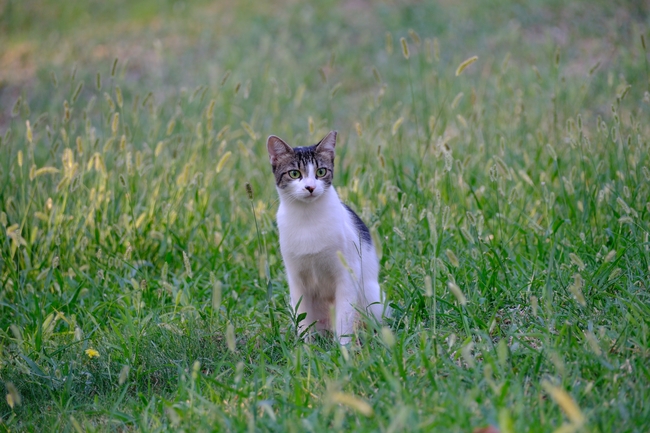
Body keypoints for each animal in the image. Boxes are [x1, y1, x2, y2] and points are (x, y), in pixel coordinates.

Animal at [266, 130, 388, 342]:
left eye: (321, 172)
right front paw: (305, 347)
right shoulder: (296, 280)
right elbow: (303, 321)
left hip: (372, 297)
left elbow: (344, 320)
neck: (308, 219)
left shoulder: (347, 275)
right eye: (294, 173)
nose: (310, 187)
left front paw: (343, 348)